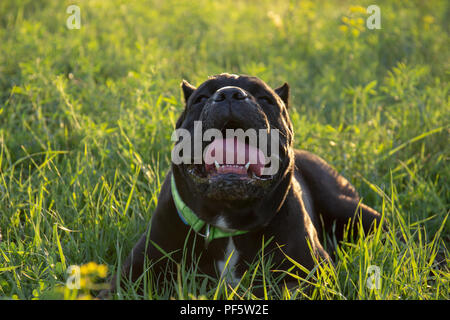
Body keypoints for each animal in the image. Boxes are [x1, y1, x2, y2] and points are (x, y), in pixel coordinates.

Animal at [103, 74, 384, 296]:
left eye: (266, 99)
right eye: (201, 98)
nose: (229, 93)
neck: (227, 222)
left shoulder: (314, 274)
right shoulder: (131, 274)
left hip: (348, 207)